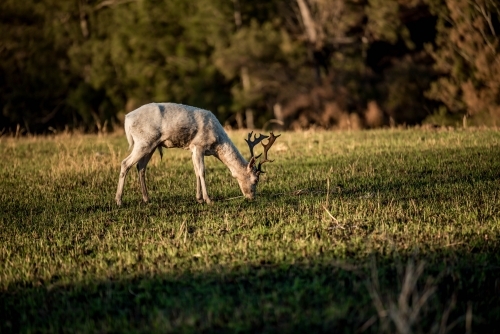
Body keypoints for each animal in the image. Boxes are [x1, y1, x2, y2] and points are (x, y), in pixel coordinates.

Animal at [115, 102, 280, 206]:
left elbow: (196, 171)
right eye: (255, 180)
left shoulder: (193, 148)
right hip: (143, 141)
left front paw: (199, 198)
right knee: (125, 163)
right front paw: (208, 199)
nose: (251, 197)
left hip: (152, 145)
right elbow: (202, 171)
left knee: (140, 166)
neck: (217, 142)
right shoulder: (199, 145)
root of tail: (127, 119)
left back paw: (146, 198)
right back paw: (119, 201)